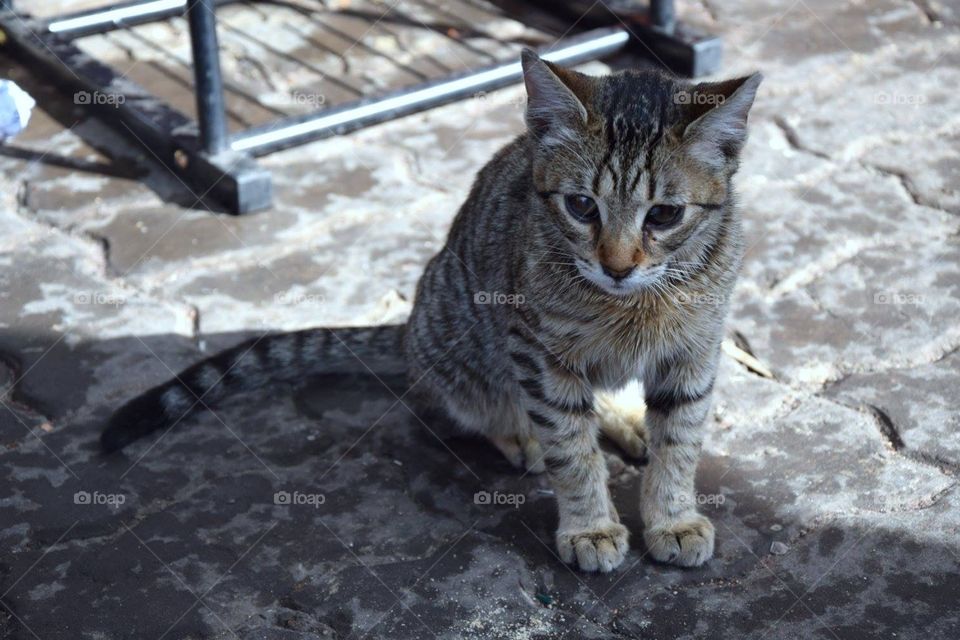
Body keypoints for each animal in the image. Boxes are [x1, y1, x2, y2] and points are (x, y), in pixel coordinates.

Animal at [103, 47, 756, 572]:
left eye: (664, 214)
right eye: (580, 206)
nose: (617, 266)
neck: (635, 305)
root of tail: (407, 330)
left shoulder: (697, 348)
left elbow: (681, 439)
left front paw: (672, 515)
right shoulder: (537, 350)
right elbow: (572, 449)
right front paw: (590, 526)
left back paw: (623, 418)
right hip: (460, 337)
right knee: (477, 401)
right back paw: (521, 433)